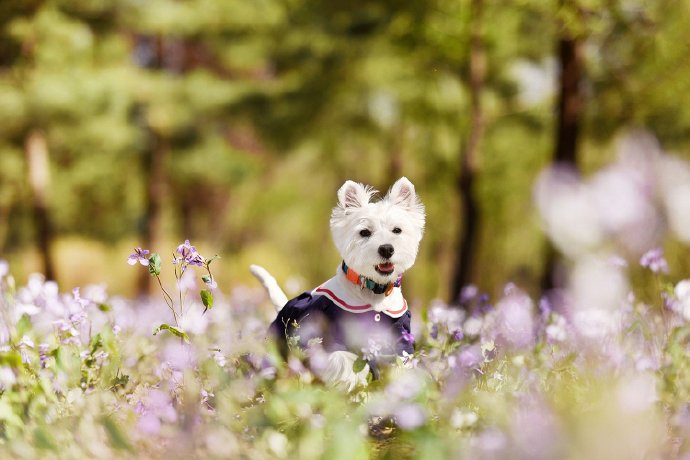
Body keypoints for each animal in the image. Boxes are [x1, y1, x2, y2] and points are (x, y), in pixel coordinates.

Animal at [251, 178, 422, 390]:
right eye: (364, 232)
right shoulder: (330, 335)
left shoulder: (399, 334)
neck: (374, 291)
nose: (386, 249)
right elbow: (344, 359)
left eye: (397, 230)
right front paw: (353, 383)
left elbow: (401, 361)